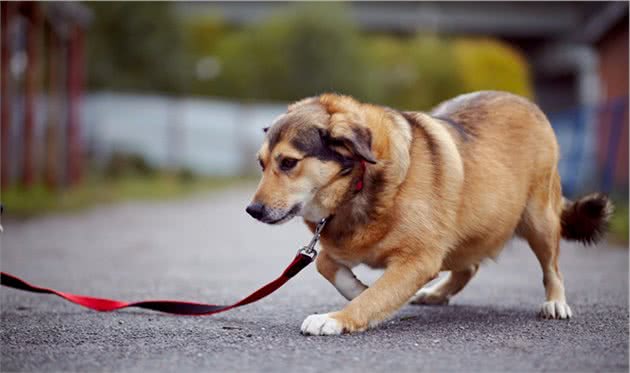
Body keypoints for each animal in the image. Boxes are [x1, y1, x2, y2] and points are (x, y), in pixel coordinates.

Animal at [246, 91, 612, 336]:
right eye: (261, 164)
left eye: (288, 162)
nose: (252, 211)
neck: (360, 183)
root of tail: (525, 102)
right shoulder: (340, 246)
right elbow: (325, 263)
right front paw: (357, 289)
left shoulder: (418, 260)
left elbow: (373, 296)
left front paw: (338, 317)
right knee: (469, 266)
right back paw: (437, 294)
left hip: (539, 221)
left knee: (552, 269)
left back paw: (555, 302)